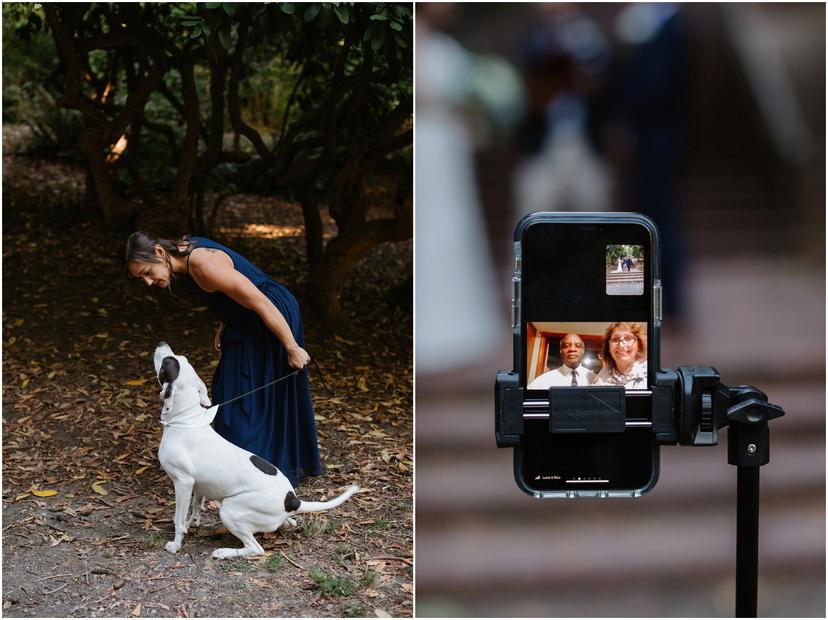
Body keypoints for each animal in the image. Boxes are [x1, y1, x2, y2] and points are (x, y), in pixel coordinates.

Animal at [153, 342, 360, 560]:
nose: (161, 344)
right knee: (288, 522)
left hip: (229, 509)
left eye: (167, 362)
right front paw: (191, 523)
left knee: (255, 548)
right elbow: (195, 508)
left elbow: (178, 520)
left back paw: (224, 552)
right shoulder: (197, 485)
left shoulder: (183, 483)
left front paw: (176, 544)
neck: (185, 420)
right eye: (178, 358)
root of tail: (292, 500)